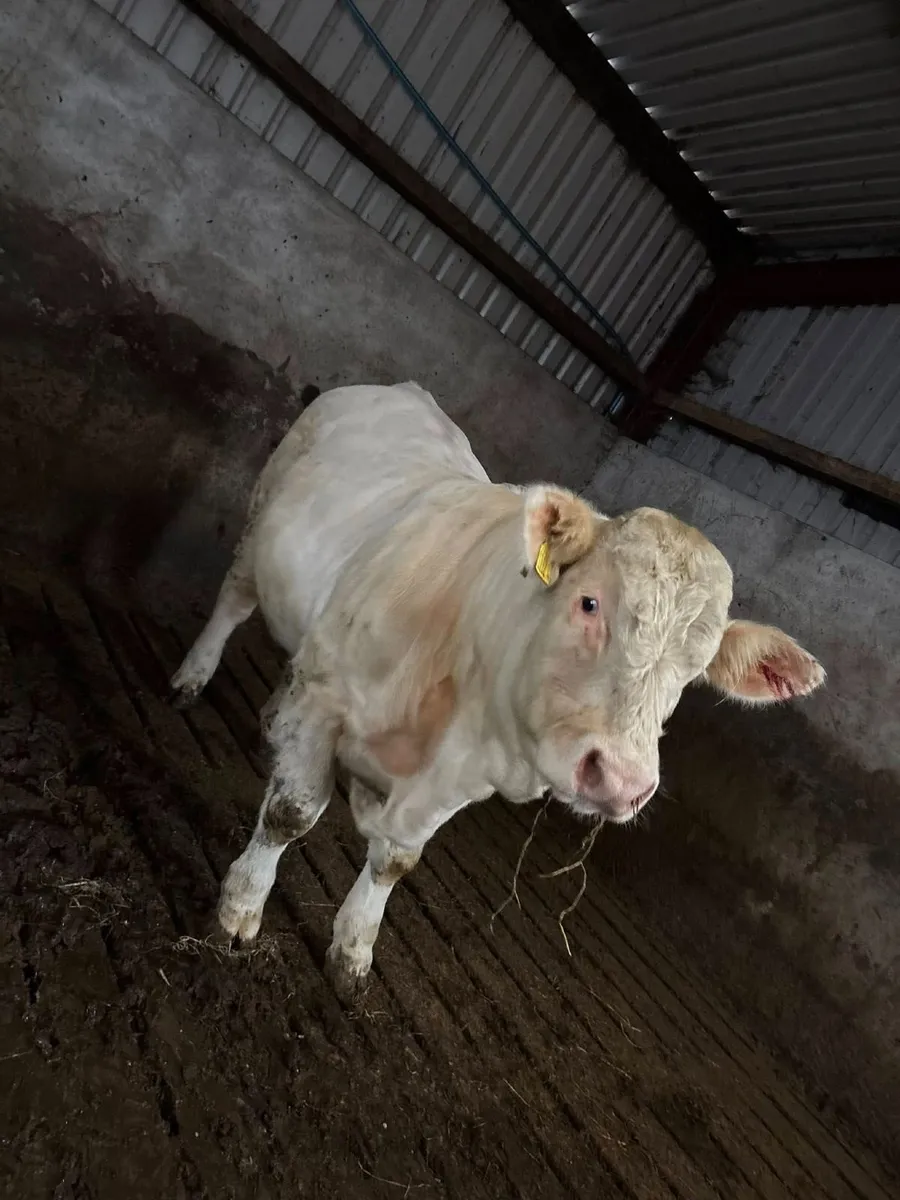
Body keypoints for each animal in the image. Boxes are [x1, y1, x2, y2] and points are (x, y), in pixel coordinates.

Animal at [170, 382, 825, 999]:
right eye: (589, 603)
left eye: (695, 673)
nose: (621, 780)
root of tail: (398, 390)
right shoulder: (327, 696)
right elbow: (291, 813)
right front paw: (239, 911)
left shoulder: (460, 780)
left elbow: (397, 859)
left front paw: (354, 951)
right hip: (259, 527)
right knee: (233, 602)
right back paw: (191, 679)